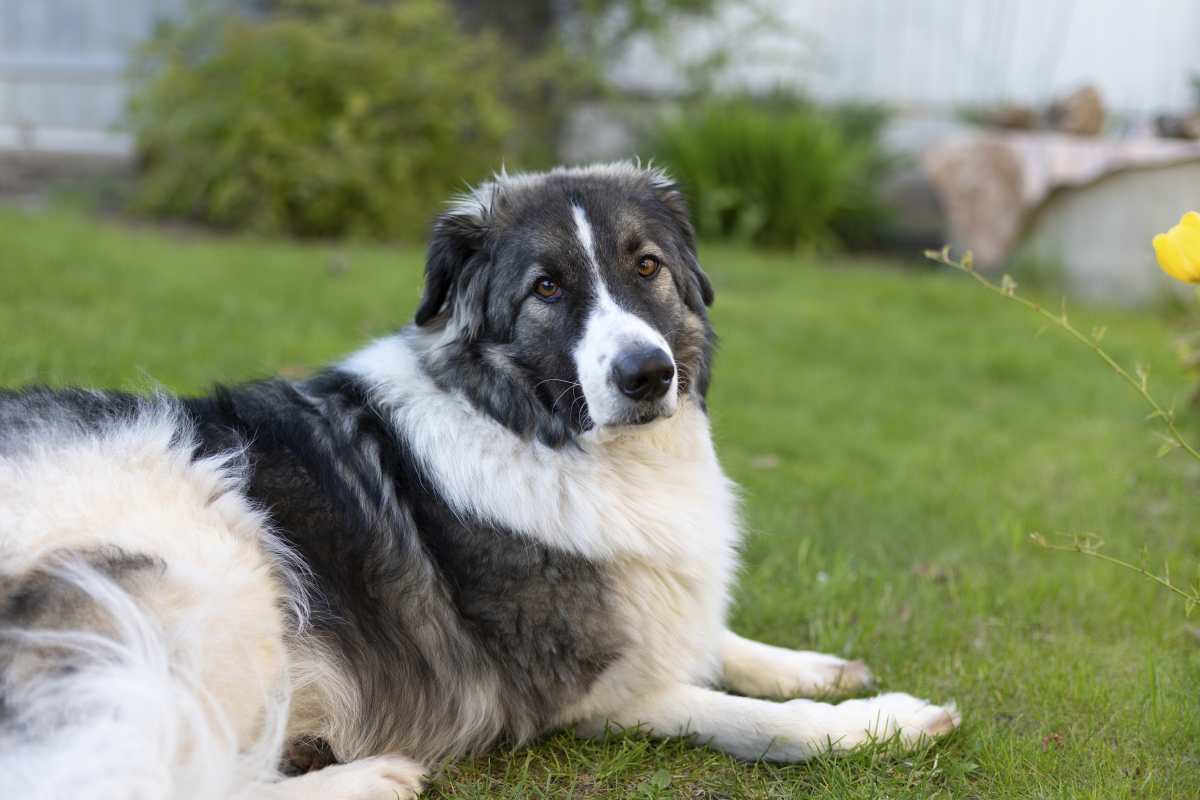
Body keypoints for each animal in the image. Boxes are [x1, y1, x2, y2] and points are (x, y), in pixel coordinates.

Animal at [0, 164, 955, 800]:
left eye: (647, 266)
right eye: (546, 288)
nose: (648, 375)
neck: (538, 431)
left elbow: (716, 639)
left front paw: (814, 667)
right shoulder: (588, 695)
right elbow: (743, 715)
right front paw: (879, 722)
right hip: (215, 571)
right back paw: (367, 777)